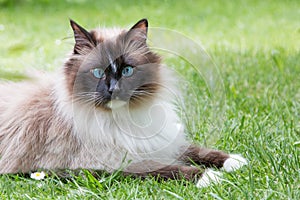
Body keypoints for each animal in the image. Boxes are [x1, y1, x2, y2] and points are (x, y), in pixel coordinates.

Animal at [0, 18, 247, 188]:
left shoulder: (159, 141)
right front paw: (211, 177)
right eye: (98, 73)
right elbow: (171, 169)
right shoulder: (115, 165)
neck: (122, 119)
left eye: (127, 70)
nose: (113, 89)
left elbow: (198, 151)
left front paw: (235, 162)